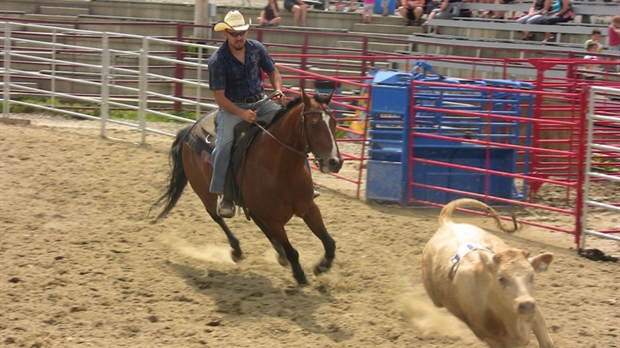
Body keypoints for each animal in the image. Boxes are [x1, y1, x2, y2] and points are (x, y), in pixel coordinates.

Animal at [151, 89, 344, 286]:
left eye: (334, 122)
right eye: (313, 124)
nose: (335, 162)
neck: (279, 166)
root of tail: (189, 130)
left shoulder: (308, 208)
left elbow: (330, 243)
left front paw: (322, 266)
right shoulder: (274, 220)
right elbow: (292, 251)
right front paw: (300, 275)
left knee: (255, 221)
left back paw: (278, 253)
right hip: (204, 192)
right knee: (215, 215)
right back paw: (237, 250)